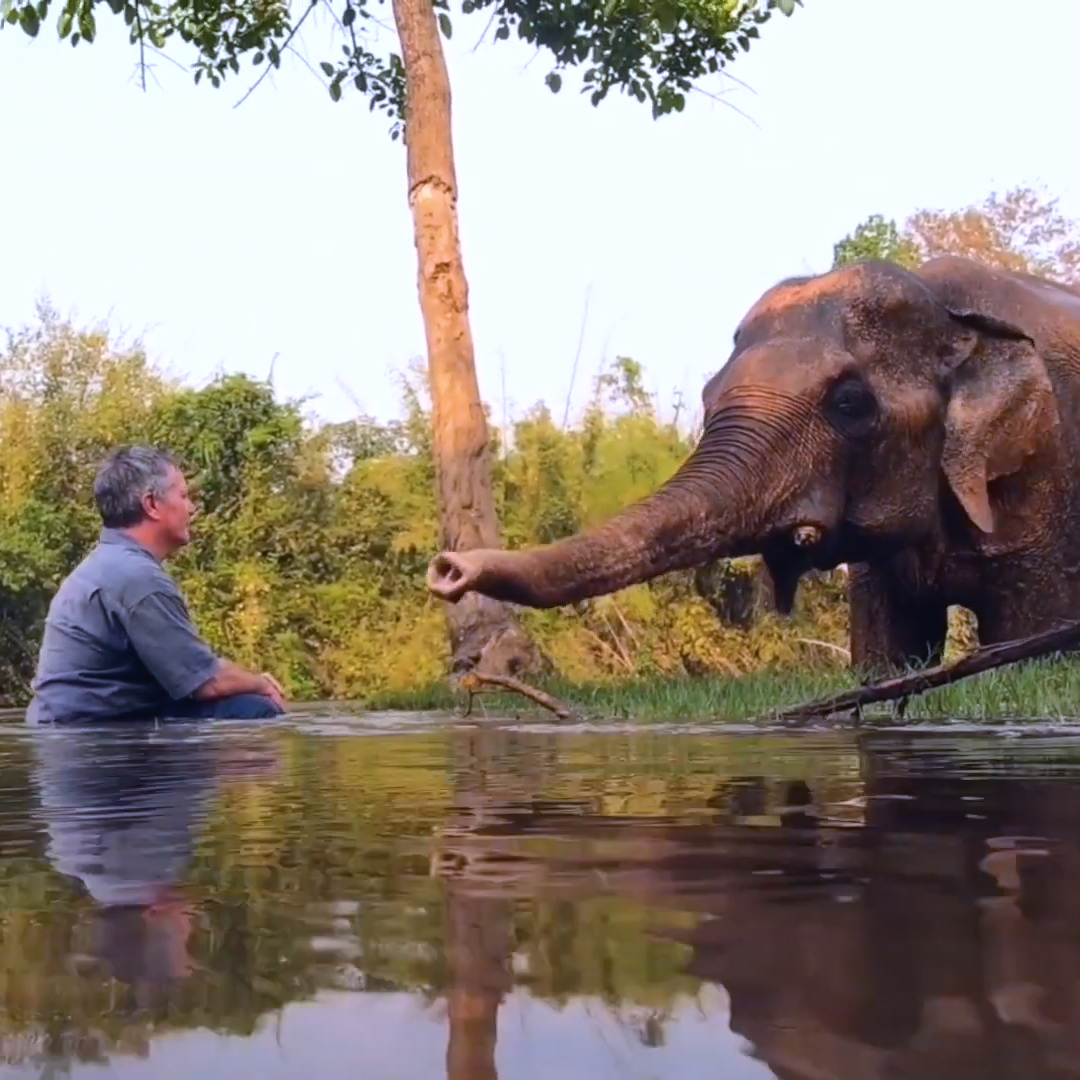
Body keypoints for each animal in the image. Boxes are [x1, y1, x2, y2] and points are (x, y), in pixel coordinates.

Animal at [426, 254, 1080, 673]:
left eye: (850, 403)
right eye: (708, 395)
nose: (448, 569)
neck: (951, 312)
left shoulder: (1042, 477)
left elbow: (1027, 643)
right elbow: (887, 650)